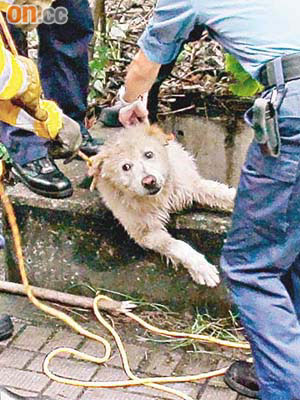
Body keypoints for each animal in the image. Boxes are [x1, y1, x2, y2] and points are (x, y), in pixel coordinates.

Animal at [88, 125, 236, 288]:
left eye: (148, 154)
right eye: (125, 167)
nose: (149, 181)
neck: (161, 197)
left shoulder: (193, 187)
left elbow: (224, 194)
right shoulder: (145, 233)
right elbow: (178, 246)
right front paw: (201, 268)